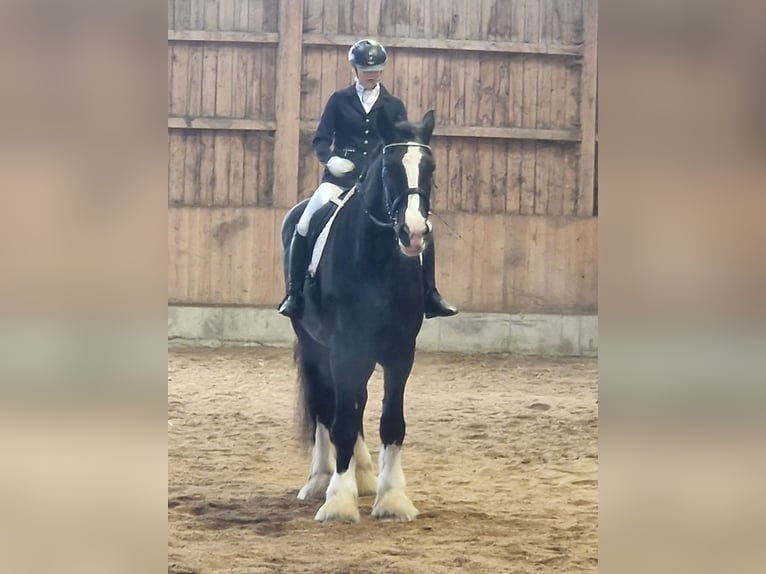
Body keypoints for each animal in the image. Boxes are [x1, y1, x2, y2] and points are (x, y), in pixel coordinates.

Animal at [280, 110, 438, 524]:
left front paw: (392, 498)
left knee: (355, 402)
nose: (414, 233)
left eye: (429, 168)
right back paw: (320, 479)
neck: (378, 261)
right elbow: (343, 423)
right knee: (326, 406)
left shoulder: (400, 353)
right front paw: (338, 500)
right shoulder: (344, 350)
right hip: (314, 344)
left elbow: (391, 422)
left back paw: (364, 475)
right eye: (388, 168)